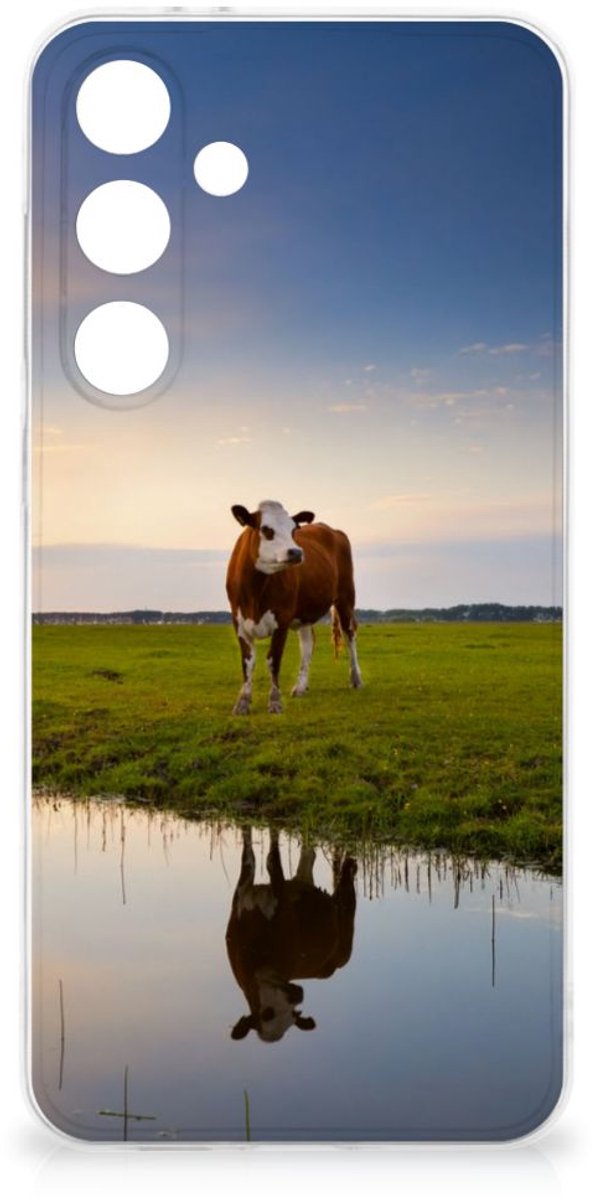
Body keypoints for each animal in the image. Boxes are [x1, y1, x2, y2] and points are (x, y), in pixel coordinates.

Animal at [225, 826, 357, 1042]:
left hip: (345, 937)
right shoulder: (241, 895)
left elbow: (272, 860)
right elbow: (248, 855)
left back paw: (350, 866)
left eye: (293, 1015)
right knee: (308, 855)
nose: (298, 995)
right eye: (267, 1013)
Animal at [226, 499, 362, 715]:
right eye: (266, 529)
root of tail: (332, 530)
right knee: (308, 643)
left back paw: (356, 678)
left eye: (293, 530)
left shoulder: (282, 620)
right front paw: (243, 702)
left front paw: (275, 702)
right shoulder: (238, 622)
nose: (297, 552)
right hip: (305, 612)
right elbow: (248, 662)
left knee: (350, 634)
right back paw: (300, 687)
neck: (255, 591)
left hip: (346, 597)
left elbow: (273, 660)